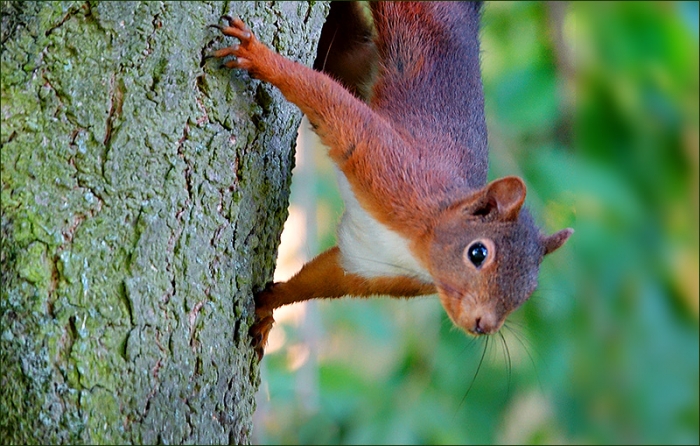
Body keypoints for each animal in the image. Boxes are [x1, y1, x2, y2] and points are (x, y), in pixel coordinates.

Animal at [211, 2, 573, 361]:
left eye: (529, 290)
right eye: (478, 253)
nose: (482, 325)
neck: (418, 247)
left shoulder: (372, 267)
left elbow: (322, 279)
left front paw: (269, 309)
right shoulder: (392, 170)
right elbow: (328, 100)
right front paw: (258, 56)